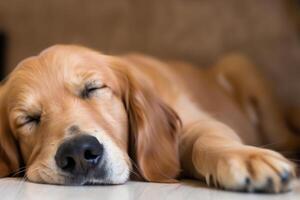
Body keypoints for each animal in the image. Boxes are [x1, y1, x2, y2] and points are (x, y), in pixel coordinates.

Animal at [0, 45, 300, 192]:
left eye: (93, 88)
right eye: (28, 118)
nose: (78, 154)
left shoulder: (194, 121)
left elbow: (207, 138)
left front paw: (247, 157)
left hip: (241, 66)